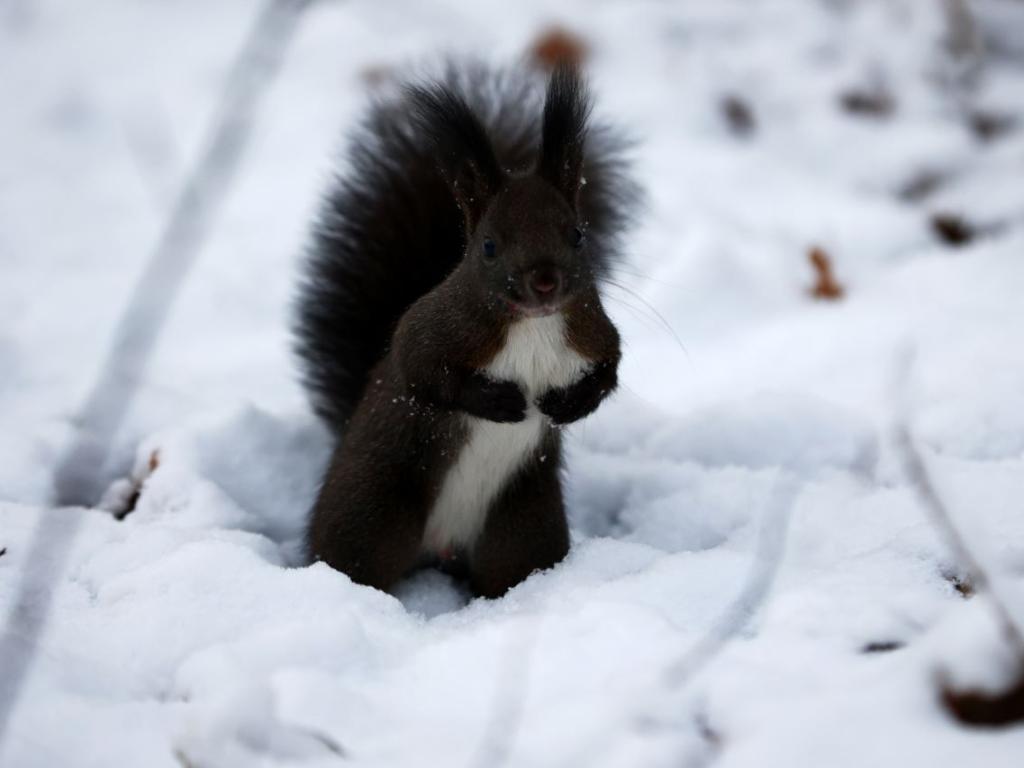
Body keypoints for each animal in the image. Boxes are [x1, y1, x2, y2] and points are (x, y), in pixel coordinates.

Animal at [292, 63, 634, 598]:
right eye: (489, 246)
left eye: (578, 235)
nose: (544, 281)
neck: (533, 326)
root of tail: (441, 546)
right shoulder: (432, 328)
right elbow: (420, 371)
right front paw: (499, 401)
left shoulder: (594, 333)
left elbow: (610, 370)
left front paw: (567, 405)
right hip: (370, 516)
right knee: (353, 563)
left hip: (523, 529)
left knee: (509, 570)